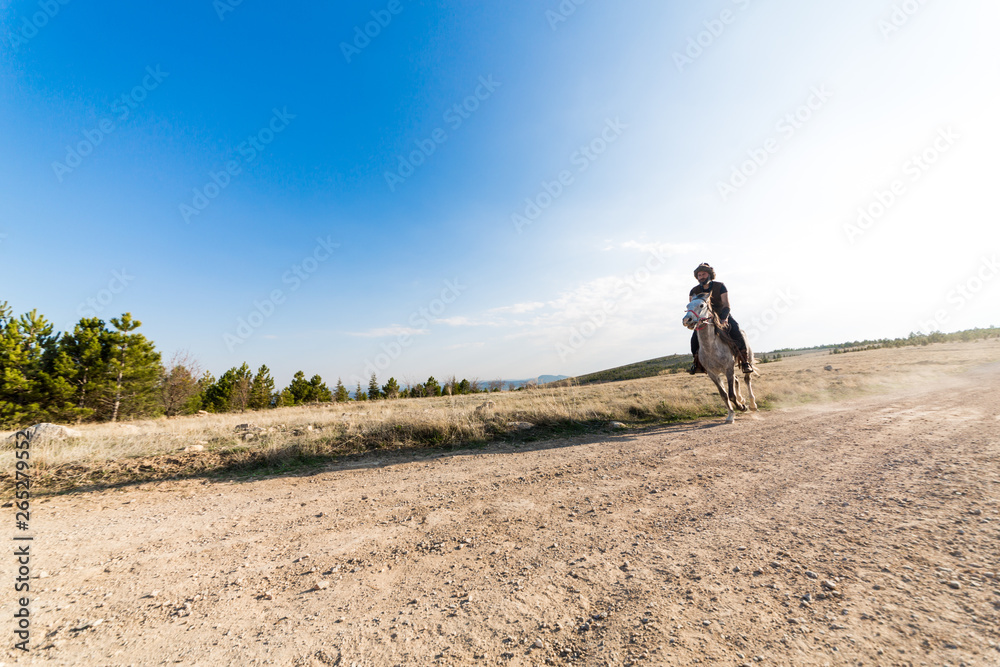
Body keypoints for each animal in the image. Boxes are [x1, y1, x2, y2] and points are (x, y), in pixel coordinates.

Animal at [680, 294, 756, 426]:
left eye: (701, 305)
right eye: (687, 305)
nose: (686, 320)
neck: (711, 347)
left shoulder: (728, 369)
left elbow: (731, 395)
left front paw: (742, 407)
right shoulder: (713, 374)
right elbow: (724, 395)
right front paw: (731, 414)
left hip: (748, 360)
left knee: (747, 380)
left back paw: (752, 405)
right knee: (737, 380)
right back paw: (742, 399)